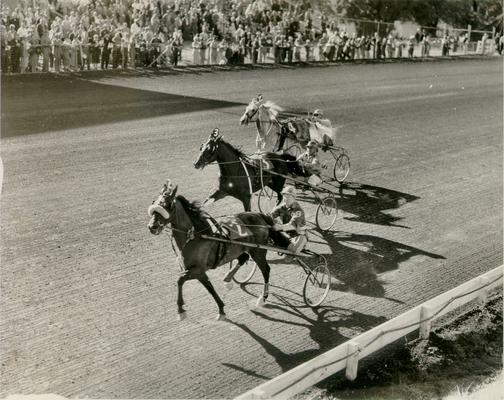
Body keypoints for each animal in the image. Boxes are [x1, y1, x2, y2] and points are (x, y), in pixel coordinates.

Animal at [147, 180, 284, 320]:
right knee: (243, 258)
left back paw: (263, 298)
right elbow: (209, 288)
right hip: (241, 248)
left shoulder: (197, 269)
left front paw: (181, 310)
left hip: (258, 251)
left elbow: (181, 281)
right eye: (154, 201)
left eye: (169, 205)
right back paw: (228, 278)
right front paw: (221, 309)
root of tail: (259, 215)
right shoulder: (197, 271)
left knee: (266, 270)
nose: (152, 226)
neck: (195, 236)